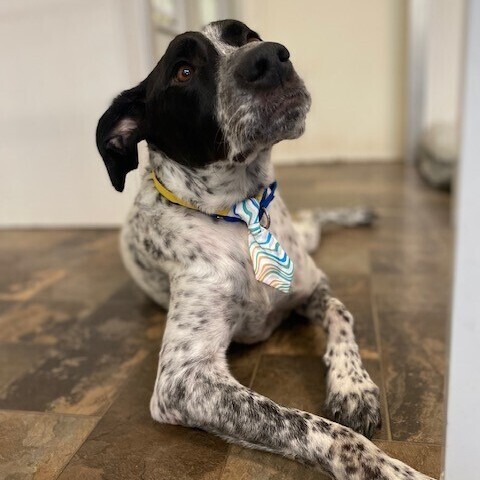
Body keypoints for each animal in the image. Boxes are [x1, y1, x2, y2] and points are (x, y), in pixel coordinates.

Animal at [96, 19, 436, 480]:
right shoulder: (183, 381)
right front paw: (383, 467)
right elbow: (312, 426)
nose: (271, 58)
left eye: (248, 37)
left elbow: (342, 314)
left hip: (306, 240)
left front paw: (352, 385)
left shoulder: (313, 287)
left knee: (315, 220)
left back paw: (358, 214)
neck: (242, 213)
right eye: (183, 71)